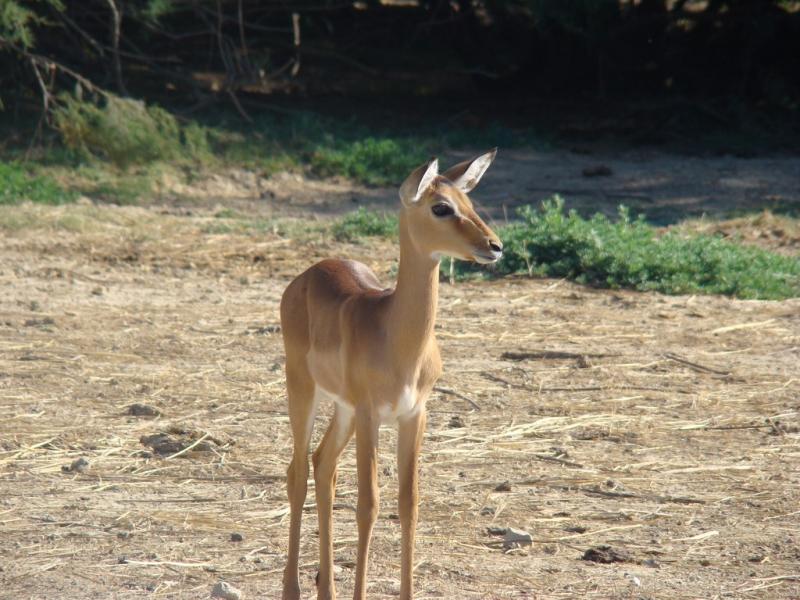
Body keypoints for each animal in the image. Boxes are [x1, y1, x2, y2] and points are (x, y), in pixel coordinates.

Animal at [280, 150, 503, 600]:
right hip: (303, 390)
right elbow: (369, 504)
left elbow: (408, 502)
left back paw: (326, 588)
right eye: (441, 207)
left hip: (344, 411)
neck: (398, 341)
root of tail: (304, 277)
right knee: (297, 473)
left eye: (469, 202)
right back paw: (292, 588)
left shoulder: (413, 415)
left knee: (323, 465)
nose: (495, 246)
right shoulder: (370, 415)